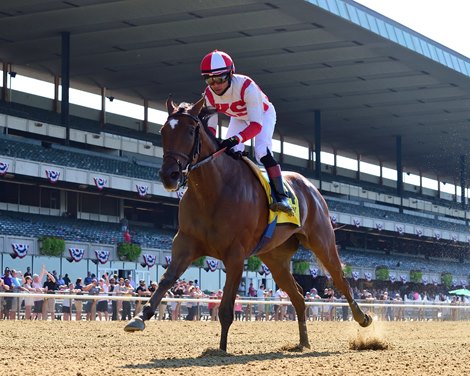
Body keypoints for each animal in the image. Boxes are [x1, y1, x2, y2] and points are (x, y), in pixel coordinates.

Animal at [124, 95, 370, 352]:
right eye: (163, 131)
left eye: (191, 131)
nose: (169, 175)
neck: (213, 191)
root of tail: (311, 186)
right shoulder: (185, 242)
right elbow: (167, 278)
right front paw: (140, 317)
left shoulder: (235, 254)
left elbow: (226, 309)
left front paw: (221, 350)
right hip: (275, 258)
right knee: (299, 296)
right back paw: (303, 342)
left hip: (321, 240)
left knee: (340, 279)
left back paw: (362, 318)